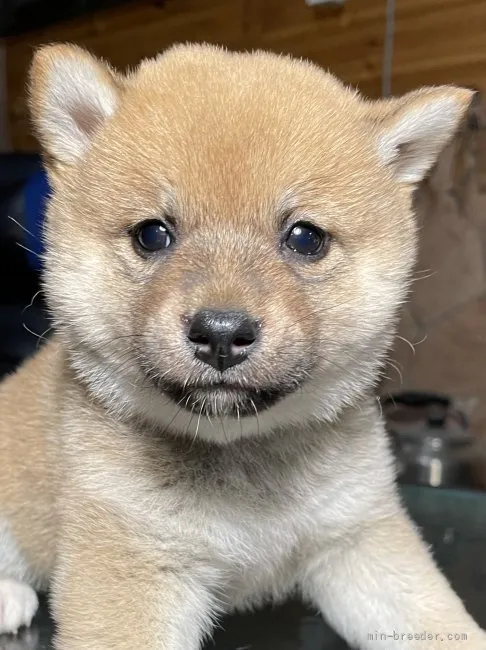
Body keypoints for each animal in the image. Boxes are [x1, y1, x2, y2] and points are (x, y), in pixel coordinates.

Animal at [0, 43, 486, 644]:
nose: (221, 333)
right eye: (152, 234)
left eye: (305, 238)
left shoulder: (358, 537)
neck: (241, 453)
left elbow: (437, 618)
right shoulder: (133, 558)